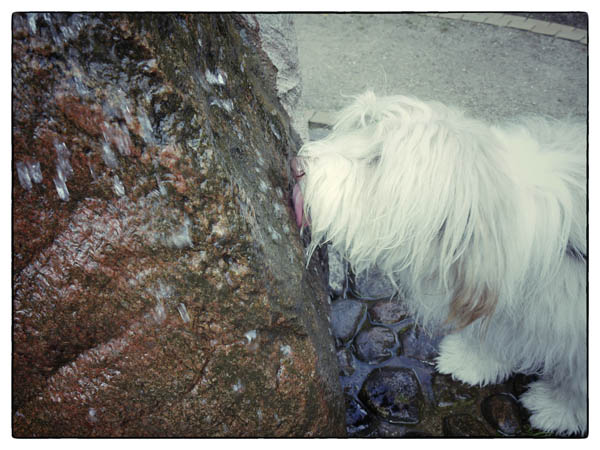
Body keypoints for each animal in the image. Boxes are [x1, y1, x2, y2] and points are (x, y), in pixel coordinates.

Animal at [292, 92, 588, 436]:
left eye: (377, 160)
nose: (296, 165)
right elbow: (496, 329)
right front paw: (471, 361)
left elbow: (576, 378)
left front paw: (558, 409)